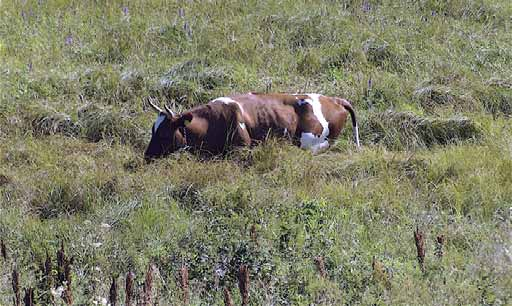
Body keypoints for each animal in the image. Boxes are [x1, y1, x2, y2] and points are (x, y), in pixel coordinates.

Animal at [144, 92, 360, 161]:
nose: (147, 156)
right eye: (153, 131)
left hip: (310, 139)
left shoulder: (241, 148)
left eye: (164, 134)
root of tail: (335, 99)